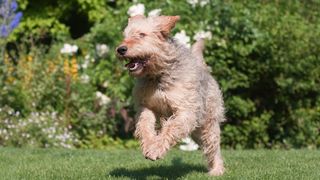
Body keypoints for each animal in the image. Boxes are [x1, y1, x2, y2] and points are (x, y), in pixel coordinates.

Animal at [117, 15, 225, 176]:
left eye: (142, 35)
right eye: (126, 36)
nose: (120, 49)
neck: (158, 76)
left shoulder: (186, 110)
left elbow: (170, 128)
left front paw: (155, 149)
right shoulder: (146, 106)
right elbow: (144, 126)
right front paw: (149, 144)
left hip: (208, 123)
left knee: (213, 146)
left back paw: (216, 170)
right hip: (197, 132)